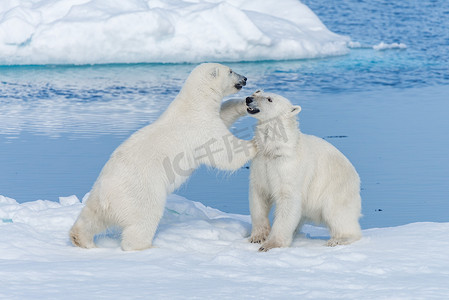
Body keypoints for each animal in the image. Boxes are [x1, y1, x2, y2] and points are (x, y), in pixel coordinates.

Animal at [68, 63, 254, 251]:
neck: (194, 104)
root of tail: (106, 194)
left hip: (97, 195)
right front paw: (254, 143)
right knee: (144, 219)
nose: (245, 78)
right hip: (140, 193)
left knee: (91, 217)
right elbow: (224, 151)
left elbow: (224, 115)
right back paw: (146, 247)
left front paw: (245, 105)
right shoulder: (201, 128)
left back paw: (81, 239)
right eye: (230, 71)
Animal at [245, 90, 360, 252]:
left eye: (269, 99)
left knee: (338, 213)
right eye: (257, 92)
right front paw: (258, 237)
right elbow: (259, 195)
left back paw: (339, 239)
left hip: (336, 188)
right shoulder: (260, 163)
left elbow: (288, 201)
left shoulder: (288, 168)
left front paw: (271, 245)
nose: (248, 99)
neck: (275, 149)